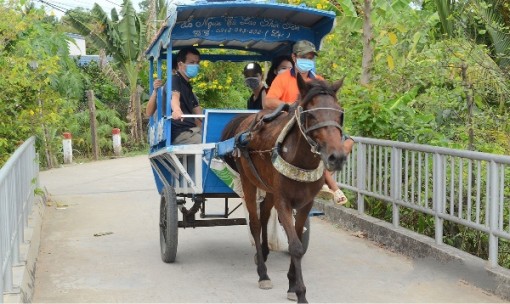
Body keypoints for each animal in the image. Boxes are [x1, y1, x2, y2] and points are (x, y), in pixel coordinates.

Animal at [221, 74, 348, 304]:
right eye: (310, 114)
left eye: (340, 113)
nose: (337, 157)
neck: (301, 160)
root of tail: (245, 122)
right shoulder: (284, 202)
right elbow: (295, 246)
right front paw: (301, 293)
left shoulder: (305, 204)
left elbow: (295, 240)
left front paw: (291, 285)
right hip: (248, 182)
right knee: (255, 223)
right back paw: (263, 273)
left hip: (269, 189)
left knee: (264, 217)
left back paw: (263, 253)